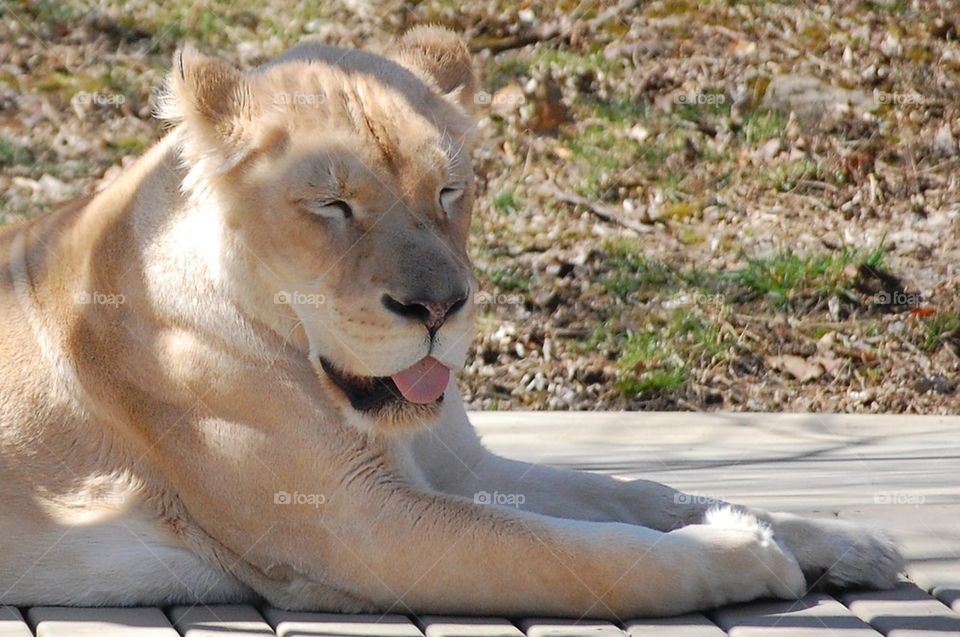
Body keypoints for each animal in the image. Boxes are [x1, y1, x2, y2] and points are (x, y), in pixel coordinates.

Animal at [0, 28, 901, 617]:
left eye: (447, 191)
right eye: (332, 205)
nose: (437, 309)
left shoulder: (459, 466)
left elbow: (638, 490)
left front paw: (841, 540)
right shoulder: (359, 527)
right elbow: (583, 551)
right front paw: (744, 548)